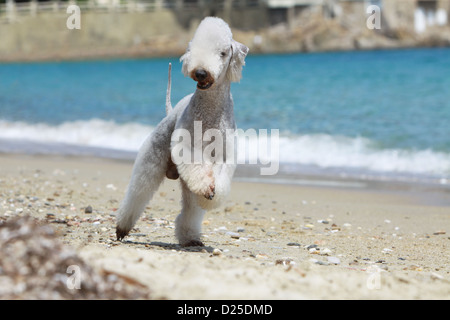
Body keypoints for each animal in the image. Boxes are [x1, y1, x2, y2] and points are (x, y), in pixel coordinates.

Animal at [116, 16, 248, 248]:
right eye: (193, 49)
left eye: (223, 53)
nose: (201, 72)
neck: (210, 109)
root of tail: (171, 111)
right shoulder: (188, 147)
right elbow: (196, 166)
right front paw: (206, 186)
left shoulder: (225, 154)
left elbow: (220, 180)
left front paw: (210, 194)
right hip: (152, 158)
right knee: (138, 192)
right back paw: (122, 229)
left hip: (185, 185)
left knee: (190, 210)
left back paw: (190, 238)